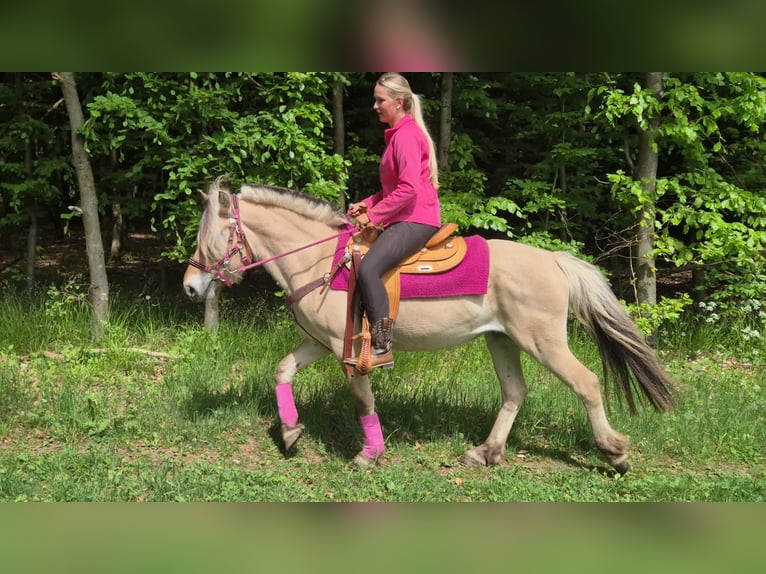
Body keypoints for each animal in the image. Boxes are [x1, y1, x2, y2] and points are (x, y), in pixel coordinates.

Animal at [183, 178, 676, 474]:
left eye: (216, 237)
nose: (190, 286)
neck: (320, 259)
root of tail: (555, 261)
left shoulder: (349, 350)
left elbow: (363, 400)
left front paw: (368, 454)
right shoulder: (321, 343)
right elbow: (282, 370)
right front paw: (289, 432)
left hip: (544, 342)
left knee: (587, 383)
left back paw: (615, 453)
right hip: (501, 340)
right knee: (514, 392)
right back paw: (485, 452)